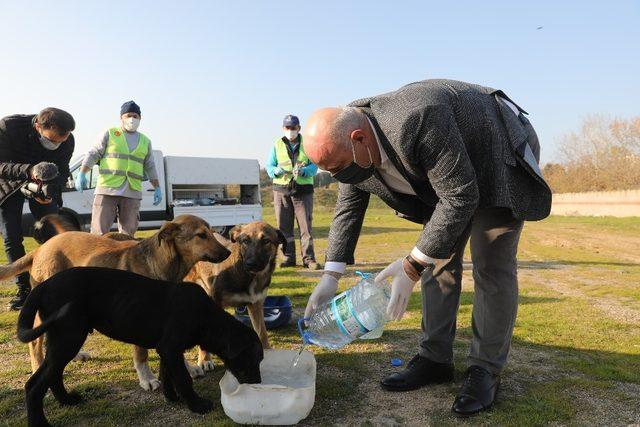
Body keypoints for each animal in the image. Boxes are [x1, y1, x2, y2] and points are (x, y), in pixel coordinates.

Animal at [0, 216, 229, 392]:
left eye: (211, 231)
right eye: (201, 235)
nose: (228, 253)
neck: (159, 264)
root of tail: (40, 250)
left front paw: (189, 367)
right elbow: (141, 354)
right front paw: (147, 379)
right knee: (35, 342)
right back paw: (37, 366)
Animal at [17, 268, 264, 427]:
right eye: (251, 360)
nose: (257, 384)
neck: (206, 317)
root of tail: (42, 286)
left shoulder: (167, 349)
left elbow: (168, 375)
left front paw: (172, 398)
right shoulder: (171, 348)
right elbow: (183, 379)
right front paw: (196, 405)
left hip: (61, 340)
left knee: (53, 375)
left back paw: (67, 400)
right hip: (68, 337)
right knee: (34, 384)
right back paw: (39, 423)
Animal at [185, 222, 284, 372]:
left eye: (266, 241)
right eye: (245, 241)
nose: (250, 263)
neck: (250, 277)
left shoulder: (256, 305)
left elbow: (262, 332)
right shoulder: (215, 302)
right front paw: (205, 360)